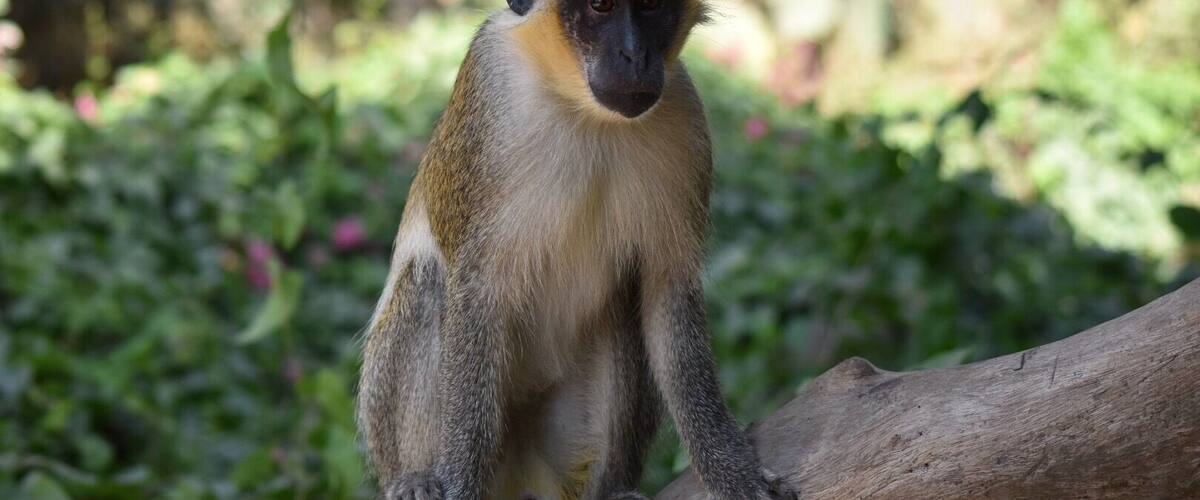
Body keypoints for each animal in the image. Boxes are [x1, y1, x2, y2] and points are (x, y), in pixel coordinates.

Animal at [356, 0, 800, 499]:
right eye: (600, 7)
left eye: (650, 7)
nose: (634, 54)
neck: (583, 109)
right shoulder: (489, 91)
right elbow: (475, 292)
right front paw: (457, 485)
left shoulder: (684, 113)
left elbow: (666, 292)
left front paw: (732, 472)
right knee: (427, 285)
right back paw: (415, 478)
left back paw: (611, 490)